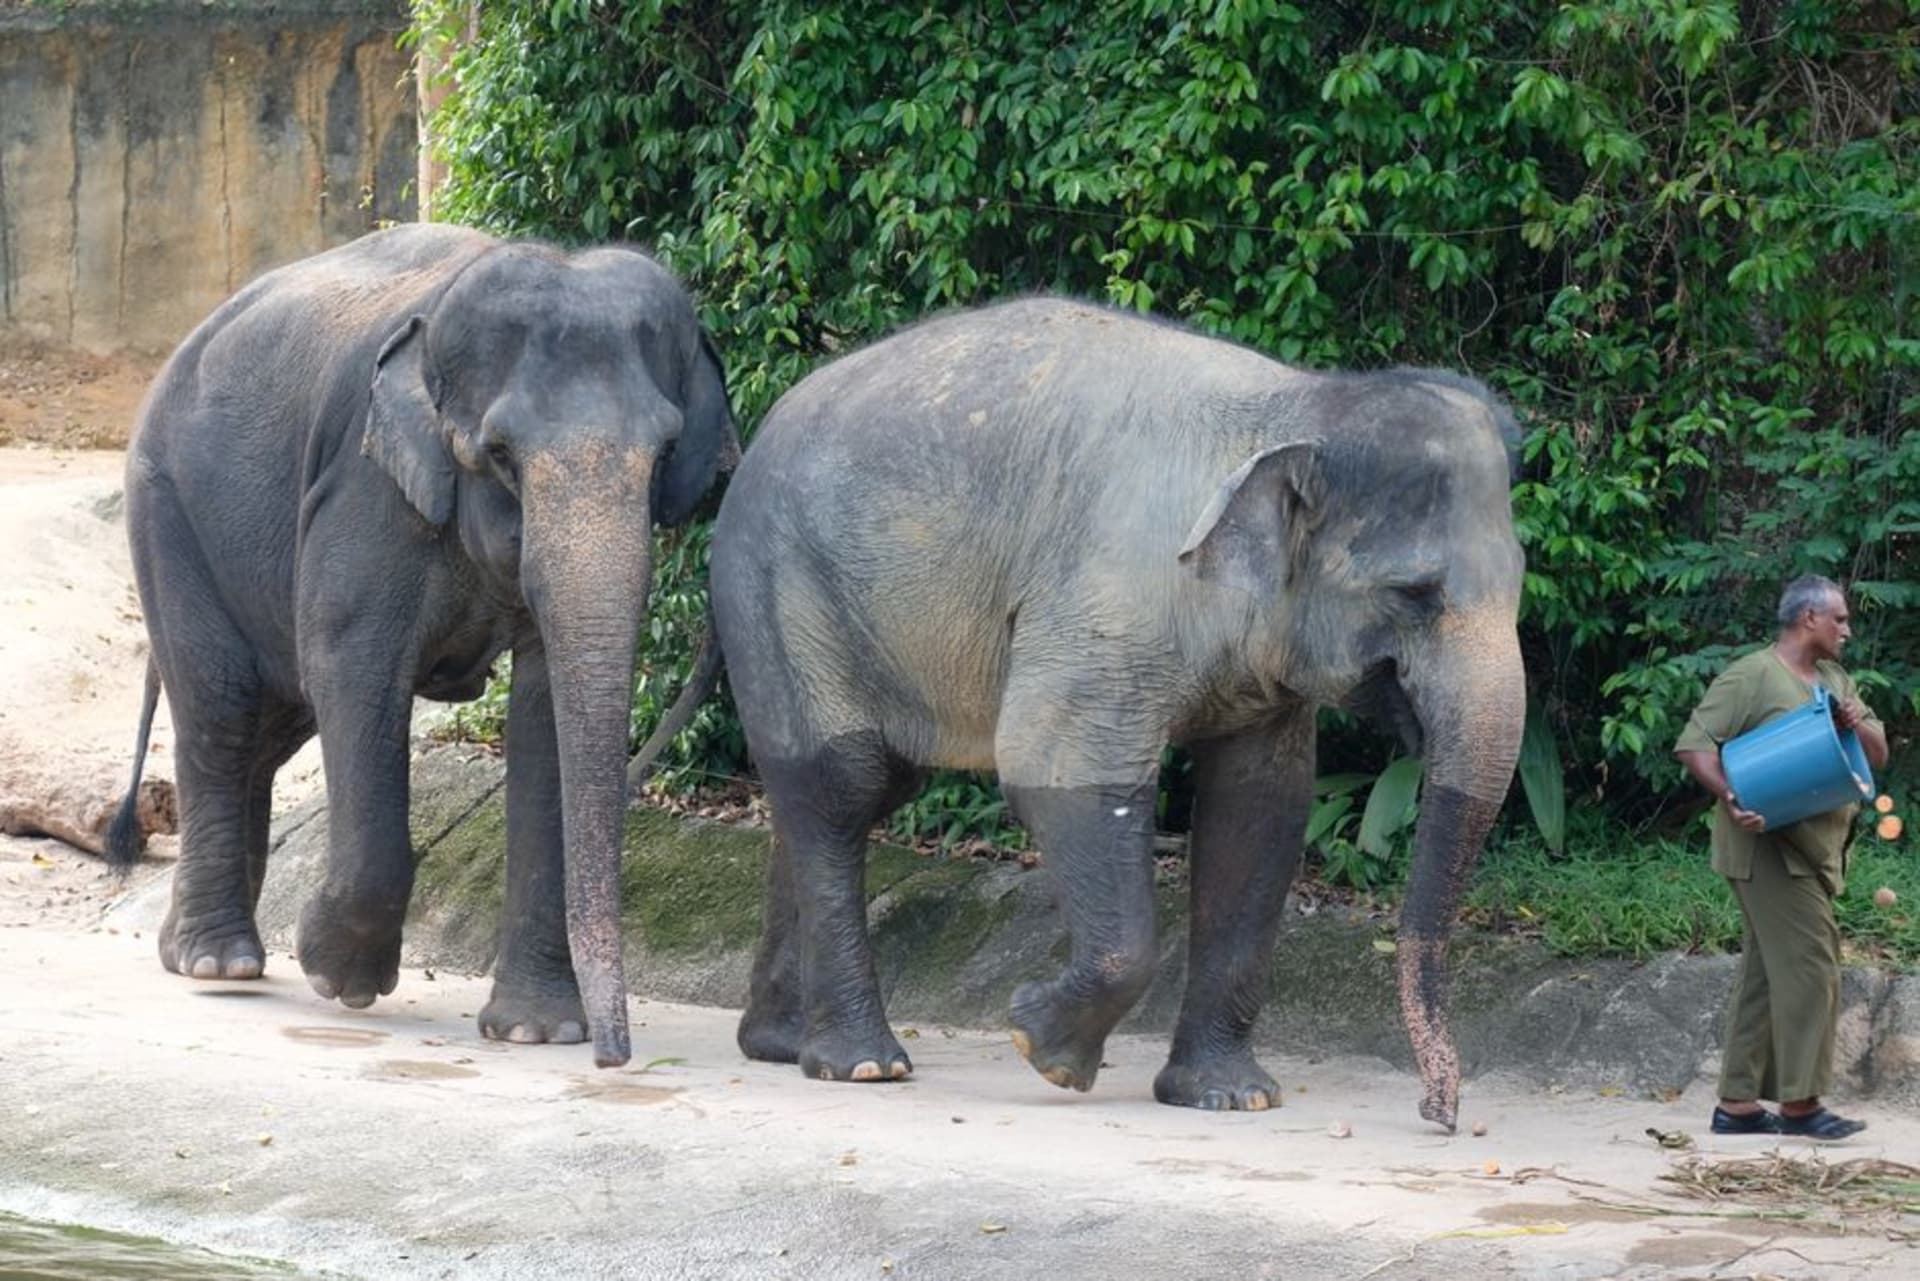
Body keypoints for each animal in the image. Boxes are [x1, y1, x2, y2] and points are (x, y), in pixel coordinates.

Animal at [104, 223, 735, 1069]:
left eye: (664, 454)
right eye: (499, 454)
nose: (613, 1057)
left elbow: (543, 713)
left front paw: (537, 1031)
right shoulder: (367, 492)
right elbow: (351, 667)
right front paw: (339, 976)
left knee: (267, 729)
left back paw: (199, 946)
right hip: (164, 505)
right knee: (223, 709)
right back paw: (217, 962)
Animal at [702, 297, 1523, 1129]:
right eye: (1415, 593)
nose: (1438, 1112)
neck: (1294, 407)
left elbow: (1258, 810)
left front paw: (1233, 1097)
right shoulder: (1103, 600)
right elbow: (1053, 765)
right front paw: (1040, 1045)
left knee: (844, 795)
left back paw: (782, 1044)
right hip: (781, 591)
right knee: (843, 784)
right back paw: (864, 1064)